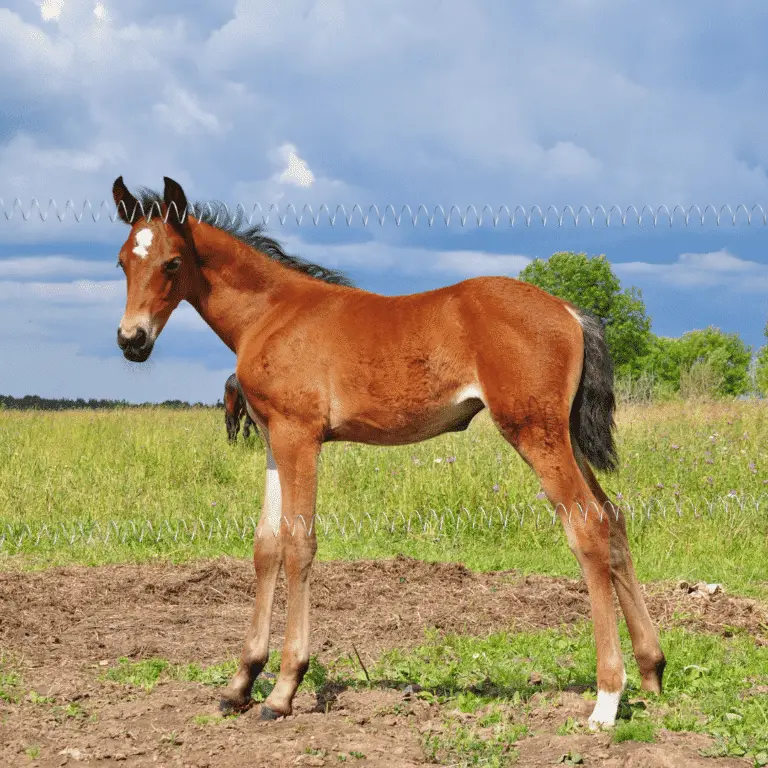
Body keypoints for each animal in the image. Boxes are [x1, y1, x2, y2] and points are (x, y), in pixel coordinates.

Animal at [112, 177, 664, 728]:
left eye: (173, 263)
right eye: (122, 262)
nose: (131, 340)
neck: (271, 315)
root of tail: (570, 311)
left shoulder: (299, 436)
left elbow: (298, 545)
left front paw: (283, 689)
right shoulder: (272, 440)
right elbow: (266, 547)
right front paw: (240, 683)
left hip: (533, 432)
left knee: (587, 525)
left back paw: (607, 699)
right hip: (561, 434)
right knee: (614, 520)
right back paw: (651, 671)